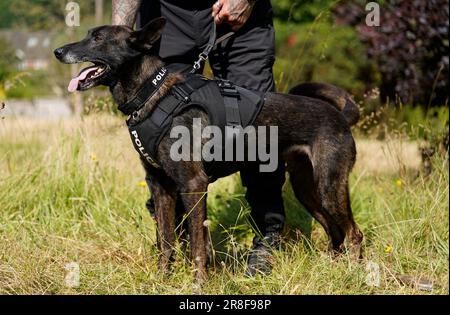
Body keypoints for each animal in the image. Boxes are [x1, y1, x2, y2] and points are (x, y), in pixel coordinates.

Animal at [54, 18, 364, 282]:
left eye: (97, 38)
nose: (58, 51)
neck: (151, 93)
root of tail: (340, 117)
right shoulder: (160, 185)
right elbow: (166, 241)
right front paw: (161, 280)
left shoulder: (193, 184)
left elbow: (197, 245)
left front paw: (199, 283)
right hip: (306, 189)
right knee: (335, 231)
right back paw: (334, 271)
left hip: (329, 186)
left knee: (354, 232)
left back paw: (354, 274)